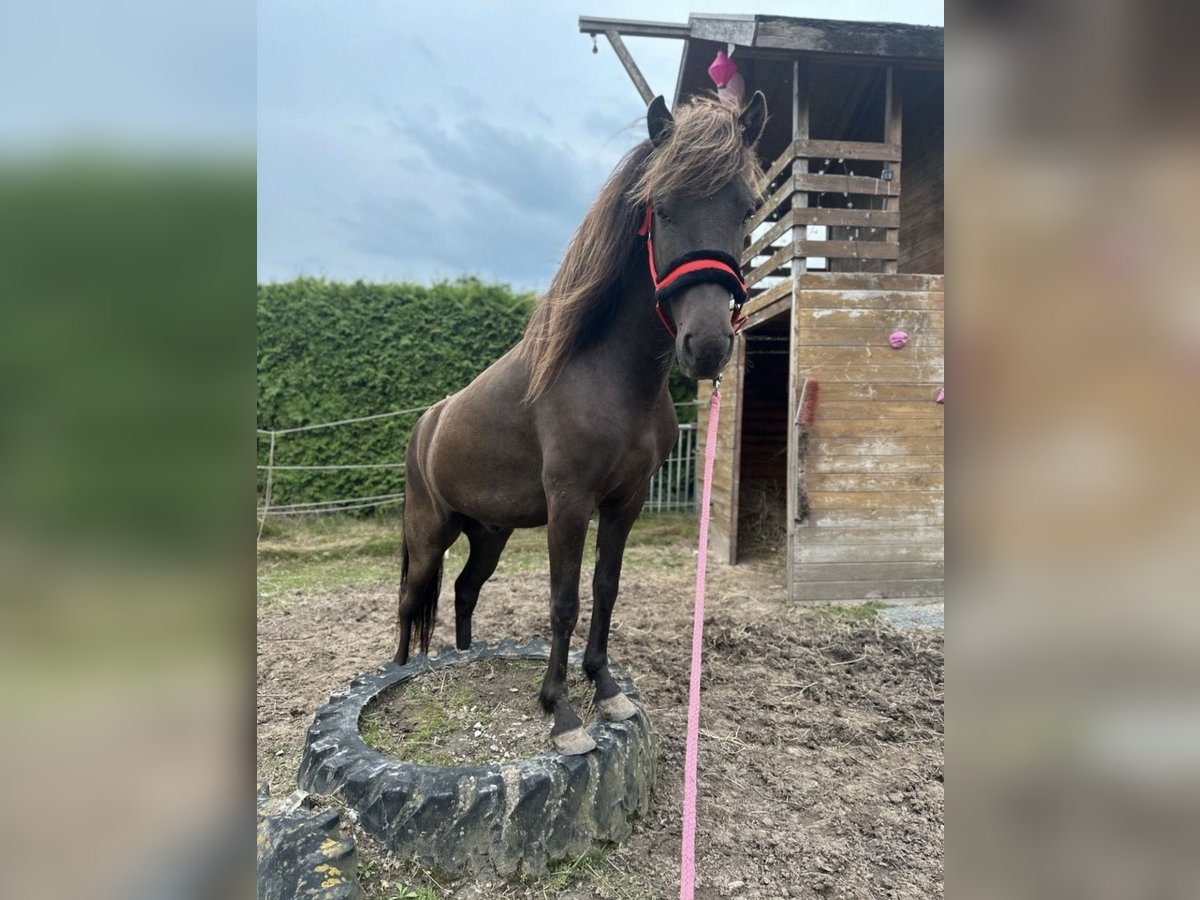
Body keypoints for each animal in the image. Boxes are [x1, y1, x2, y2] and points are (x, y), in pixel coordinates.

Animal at [395, 93, 767, 754]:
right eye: (661, 207)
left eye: (746, 208)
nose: (707, 347)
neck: (605, 373)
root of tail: (426, 424)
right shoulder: (569, 503)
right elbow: (563, 600)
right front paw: (561, 711)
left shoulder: (626, 500)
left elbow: (605, 586)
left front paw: (606, 687)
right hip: (428, 530)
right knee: (412, 602)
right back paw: (397, 673)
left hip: (489, 533)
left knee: (464, 590)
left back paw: (464, 659)